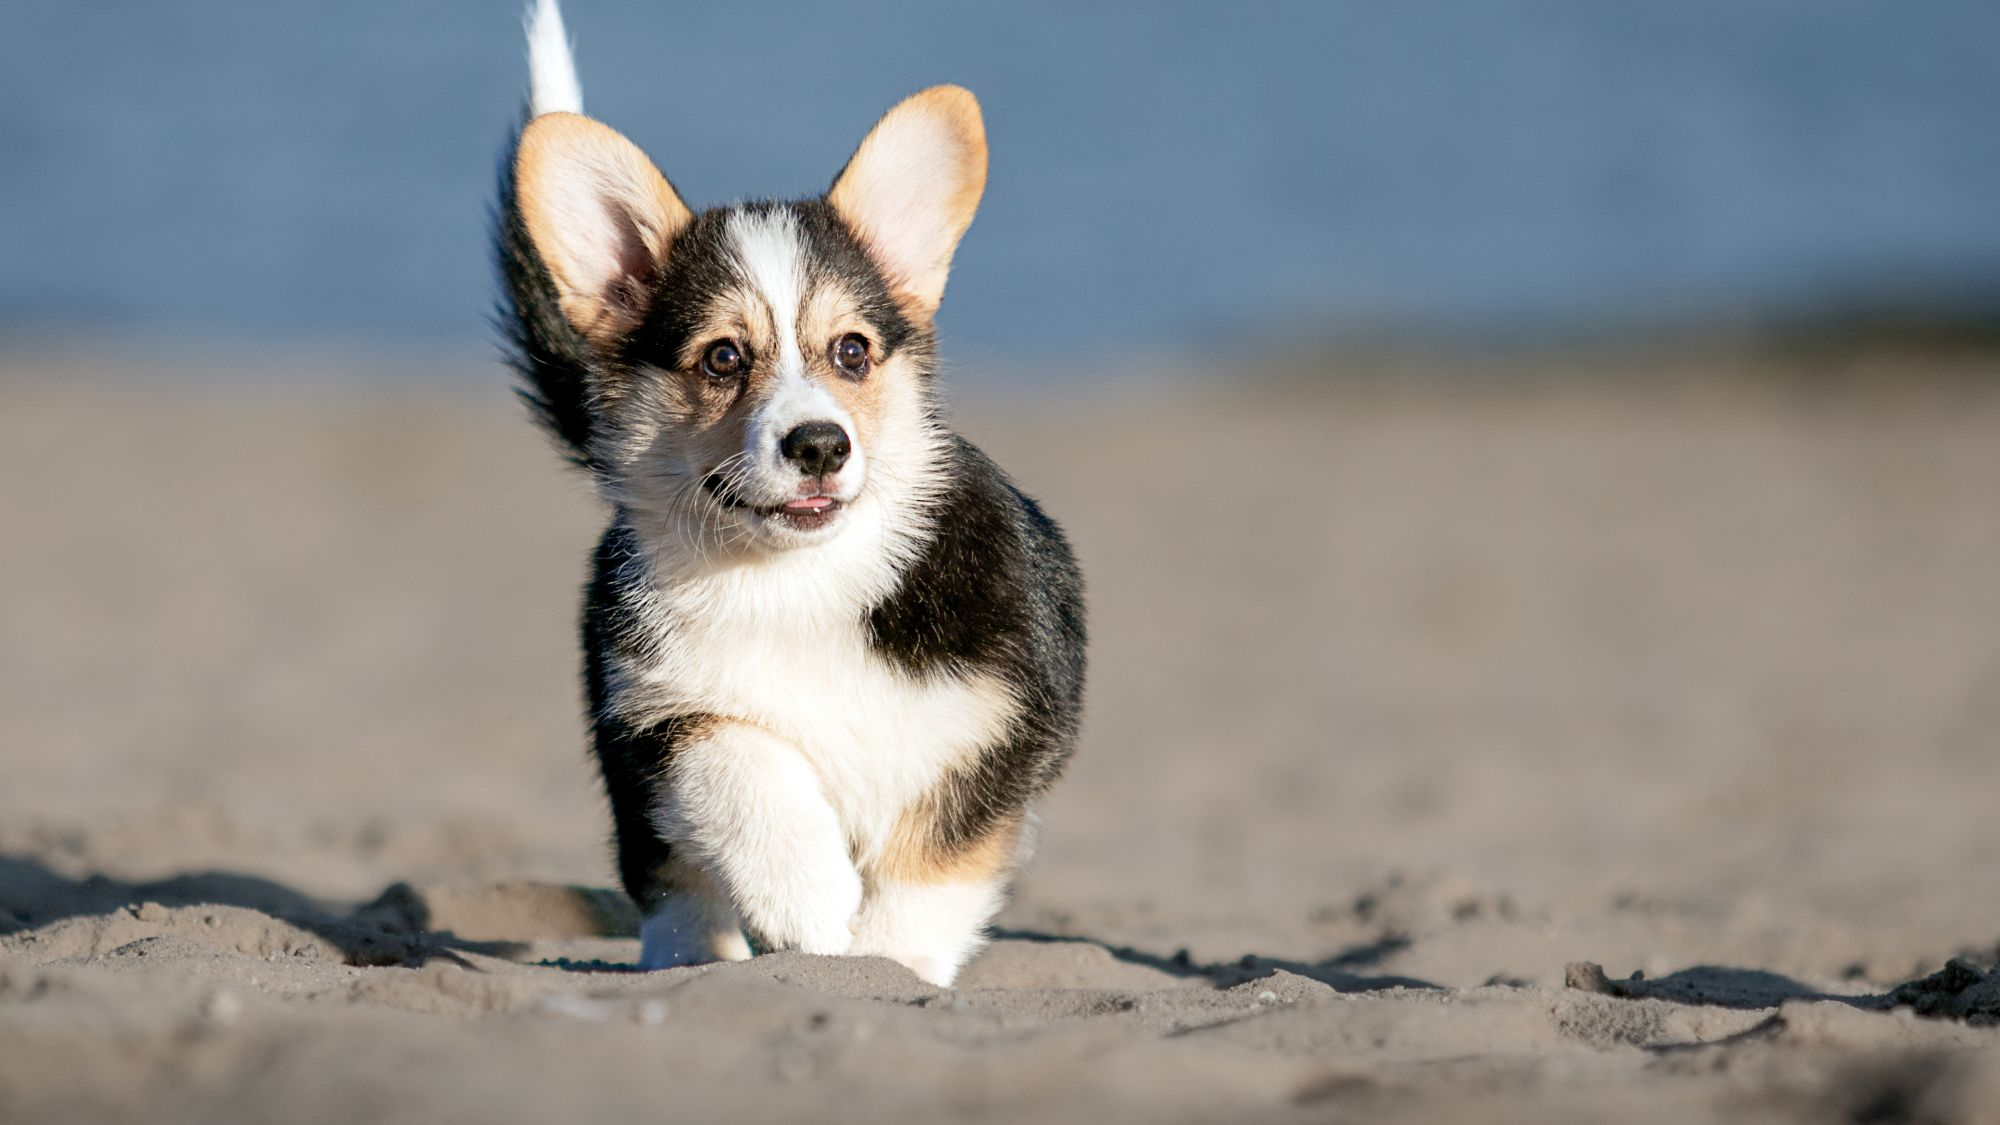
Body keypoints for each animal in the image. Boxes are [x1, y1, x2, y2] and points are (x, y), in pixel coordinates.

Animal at [500, 0, 1096, 980]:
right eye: (722, 357)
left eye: (852, 350)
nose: (819, 443)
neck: (798, 576)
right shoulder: (655, 711)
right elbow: (738, 758)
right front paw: (810, 900)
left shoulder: (1000, 726)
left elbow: (930, 867)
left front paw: (882, 968)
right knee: (673, 882)